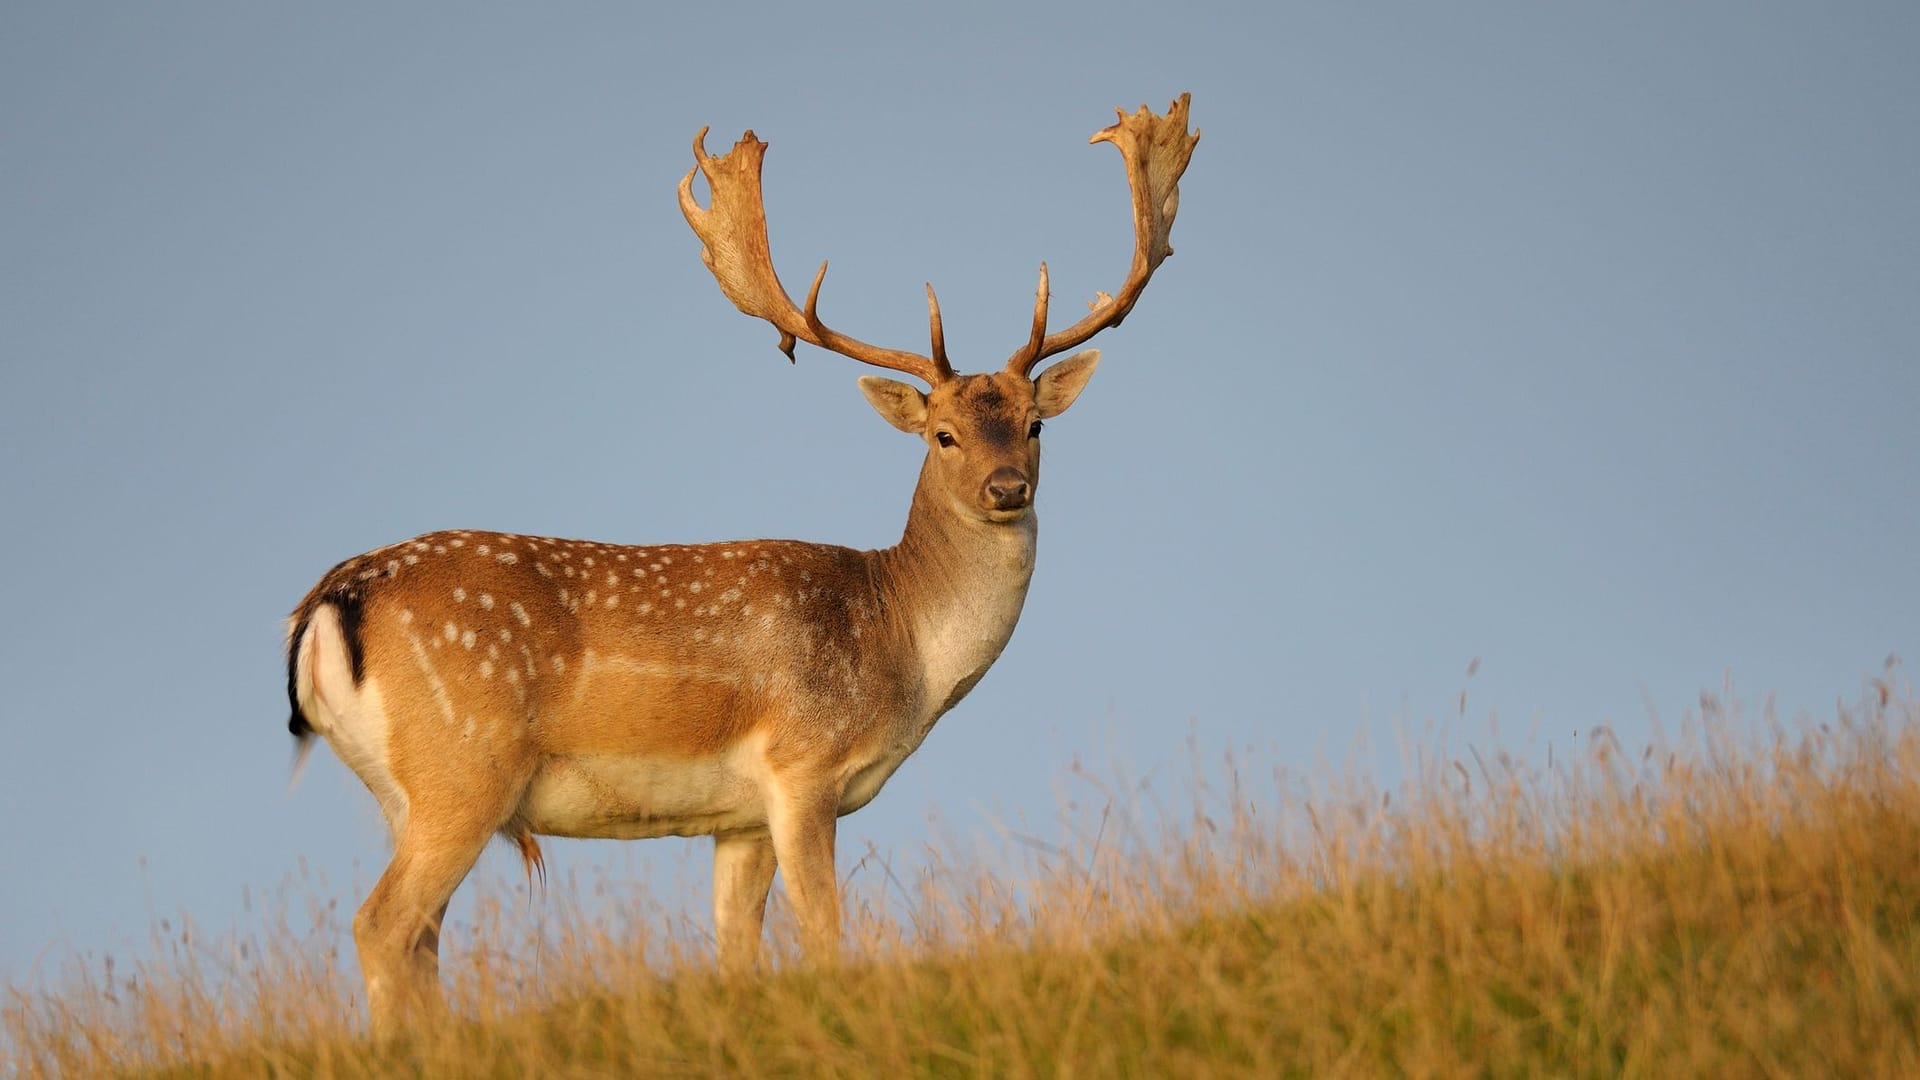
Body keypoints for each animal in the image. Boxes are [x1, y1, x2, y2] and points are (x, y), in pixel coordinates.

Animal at [280, 96, 1198, 1030]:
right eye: (942, 434)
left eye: (1035, 425)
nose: (1007, 486)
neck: (901, 645)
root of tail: (328, 599)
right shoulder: (802, 767)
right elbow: (825, 933)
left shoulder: (739, 820)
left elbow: (735, 954)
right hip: (463, 768)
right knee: (382, 924)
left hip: (404, 792)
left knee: (421, 938)